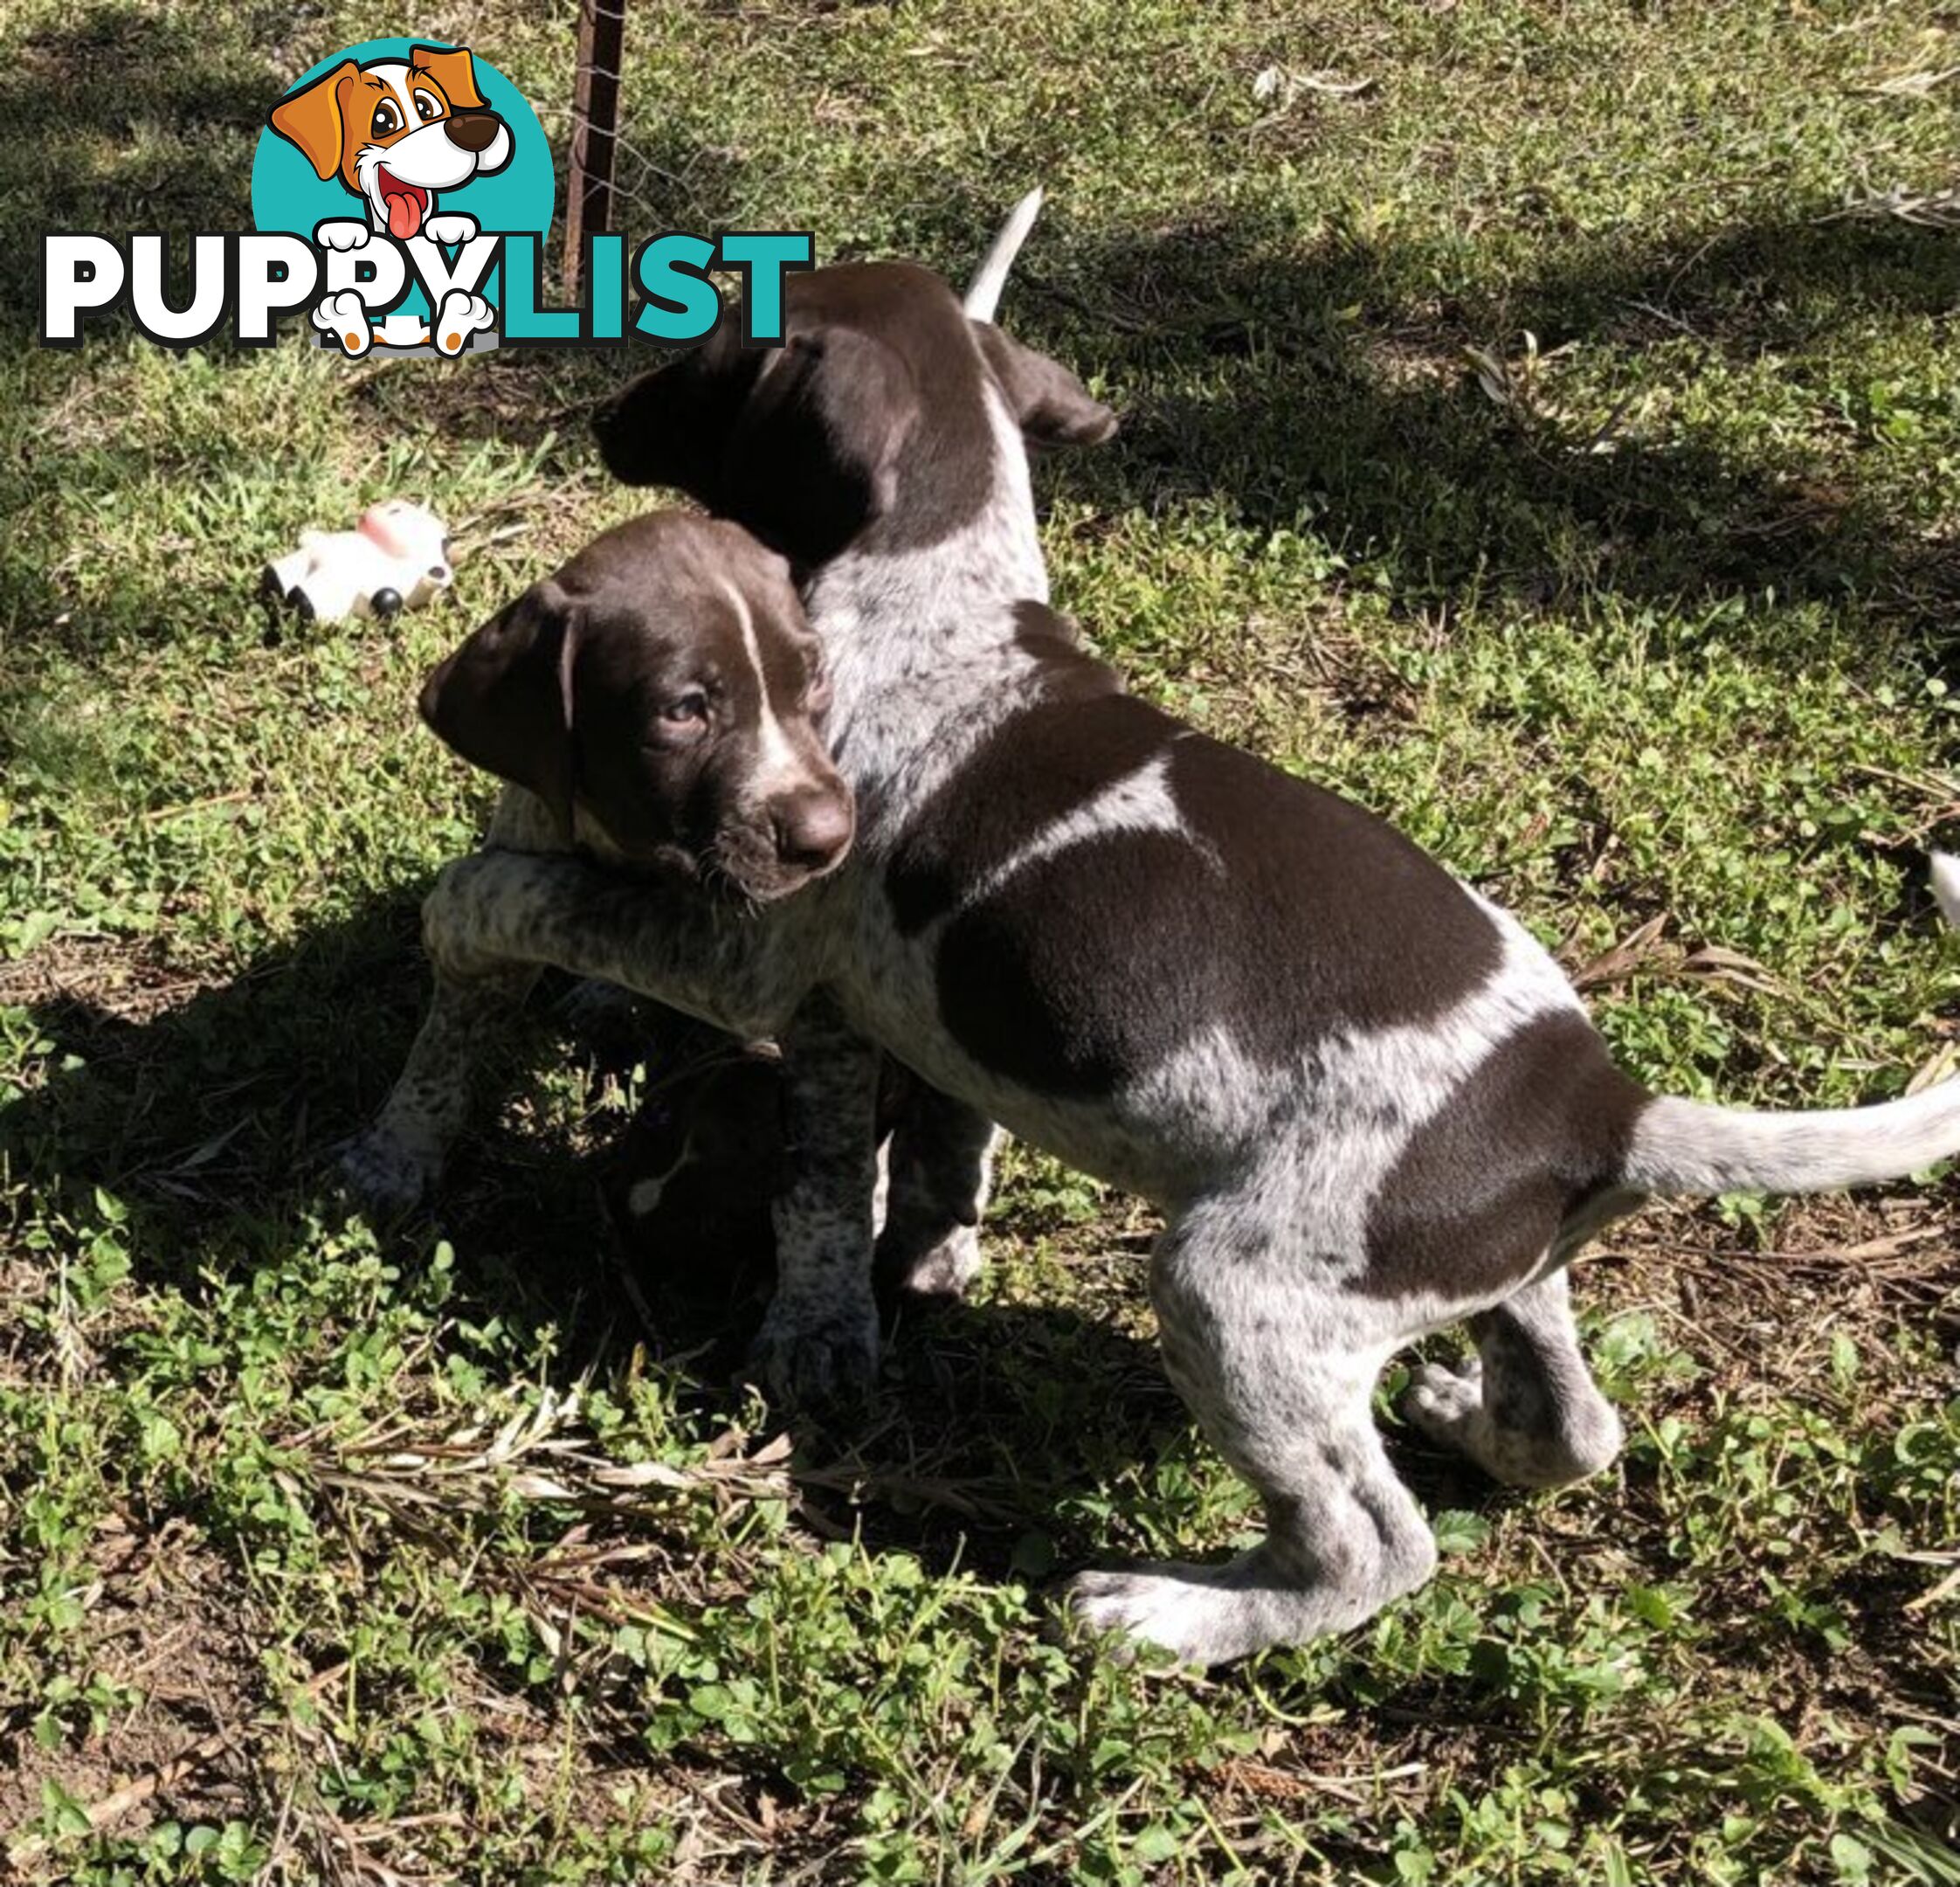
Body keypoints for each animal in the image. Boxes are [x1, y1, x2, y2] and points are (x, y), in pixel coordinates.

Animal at [352, 221, 1960, 1669]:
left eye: (704, 344)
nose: (596, 405)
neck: (936, 594)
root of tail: (1606, 1107)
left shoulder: (757, 942)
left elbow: (536, 903)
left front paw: (474, 908)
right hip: (1478, 1275)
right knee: (1576, 1427)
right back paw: (1464, 1416)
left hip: (1231, 1293)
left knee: (1375, 1550)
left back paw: (1179, 1616)